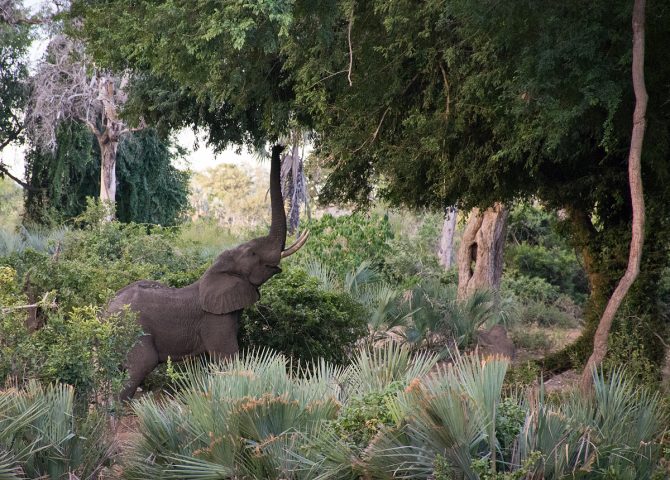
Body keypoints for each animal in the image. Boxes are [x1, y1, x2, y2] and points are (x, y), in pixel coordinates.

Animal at [109, 144, 310, 400]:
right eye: (253, 253)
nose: (279, 146)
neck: (215, 271)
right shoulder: (215, 319)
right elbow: (228, 358)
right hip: (133, 332)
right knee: (138, 367)